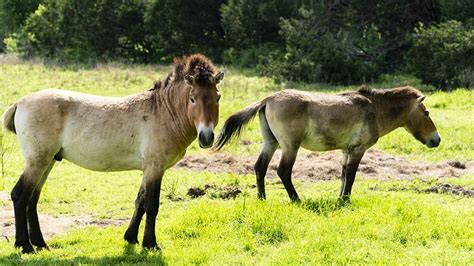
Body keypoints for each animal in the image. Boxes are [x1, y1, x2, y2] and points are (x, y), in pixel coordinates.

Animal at [1, 54, 224, 254]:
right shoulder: (155, 167)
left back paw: (40, 244)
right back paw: (25, 246)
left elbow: (140, 202)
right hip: (37, 161)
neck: (162, 112)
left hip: (47, 162)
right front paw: (151, 244)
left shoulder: (148, 169)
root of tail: (20, 102)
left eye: (217, 97)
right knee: (20, 196)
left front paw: (131, 238)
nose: (206, 137)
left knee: (32, 199)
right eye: (192, 98)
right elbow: (152, 206)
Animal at [214, 87, 440, 202]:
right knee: (283, 171)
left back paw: (262, 198)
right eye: (427, 113)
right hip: (290, 146)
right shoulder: (358, 150)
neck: (375, 109)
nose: (437, 139)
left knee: (260, 167)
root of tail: (267, 99)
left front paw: (340, 198)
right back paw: (296, 199)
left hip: (271, 142)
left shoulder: (346, 151)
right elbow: (351, 176)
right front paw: (345, 200)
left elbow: (343, 176)